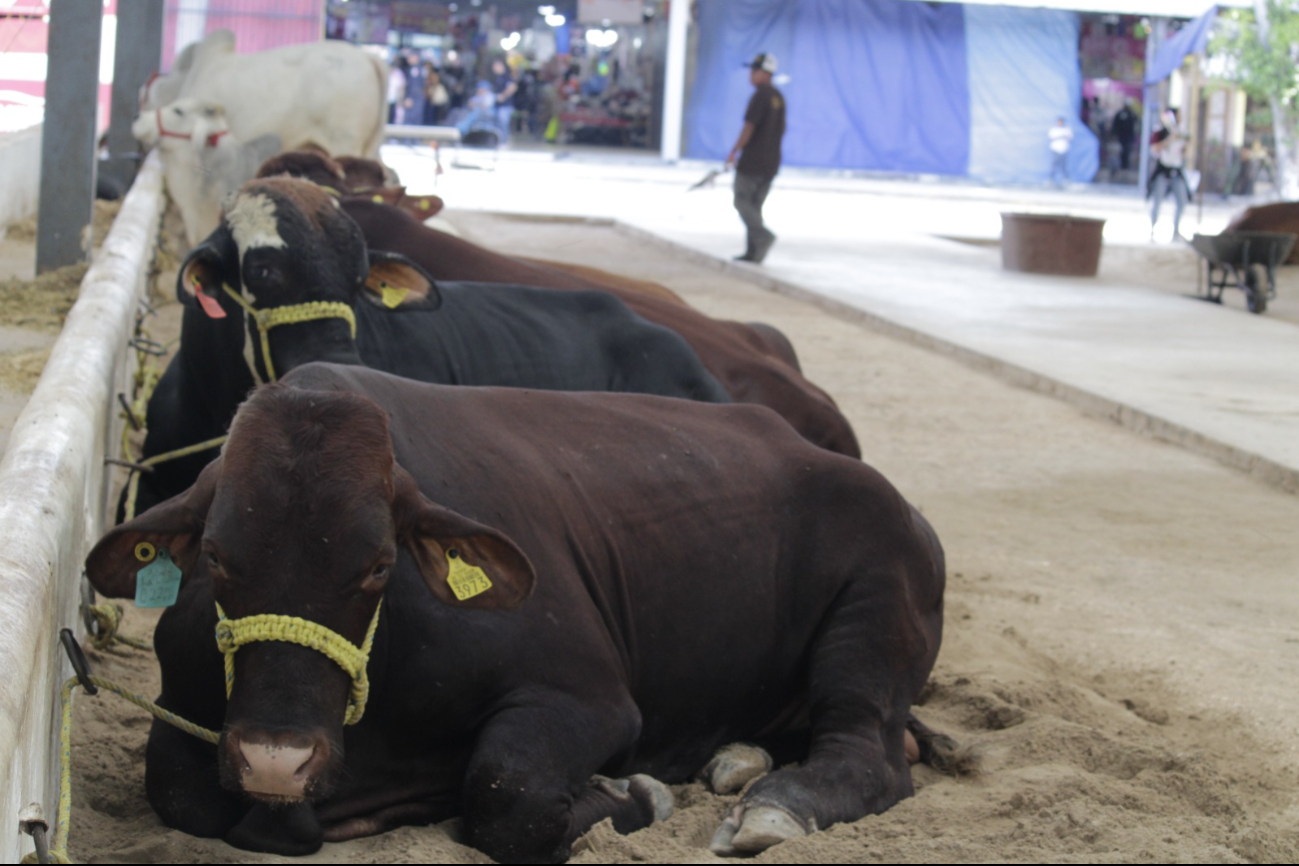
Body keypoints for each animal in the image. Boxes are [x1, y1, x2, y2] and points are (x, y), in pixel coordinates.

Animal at [88, 363, 945, 862]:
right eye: (216, 556)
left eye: (378, 564)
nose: (276, 759)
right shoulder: (182, 704)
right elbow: (181, 791)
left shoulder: (585, 696)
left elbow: (508, 792)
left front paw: (633, 795)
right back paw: (738, 758)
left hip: (872, 610)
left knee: (868, 751)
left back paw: (773, 806)